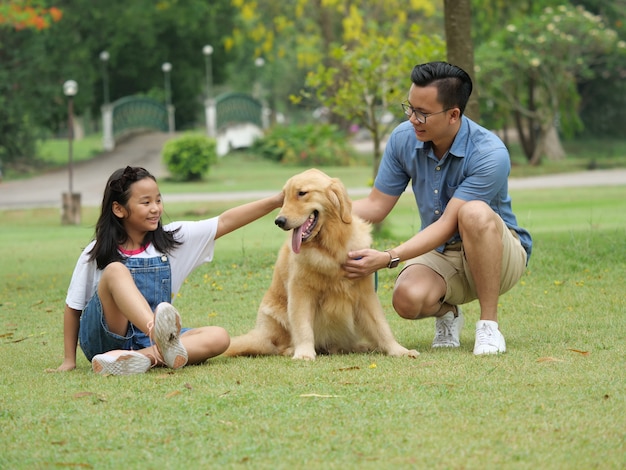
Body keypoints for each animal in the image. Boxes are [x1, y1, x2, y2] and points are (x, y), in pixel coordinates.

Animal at [222, 168, 416, 360]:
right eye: (284, 197)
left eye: (302, 193)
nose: (279, 221)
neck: (329, 248)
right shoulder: (301, 291)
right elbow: (303, 326)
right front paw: (304, 353)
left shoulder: (365, 293)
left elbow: (380, 326)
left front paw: (398, 350)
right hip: (275, 315)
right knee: (277, 345)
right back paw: (292, 349)